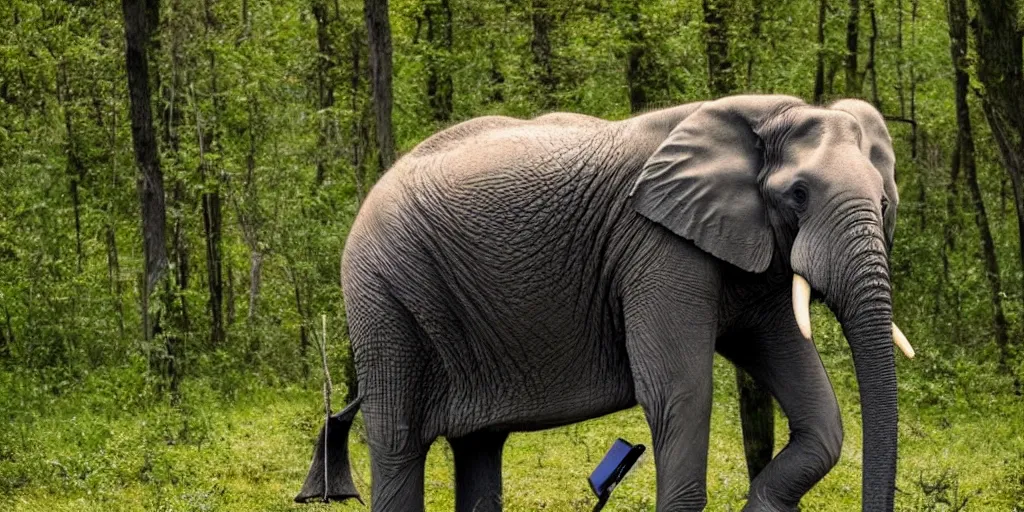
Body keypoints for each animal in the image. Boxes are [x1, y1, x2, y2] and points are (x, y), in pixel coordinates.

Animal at [294, 94, 913, 509]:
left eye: (885, 203)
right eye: (799, 194)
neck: (766, 115)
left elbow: (821, 417)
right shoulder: (655, 244)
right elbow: (679, 393)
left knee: (479, 444)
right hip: (383, 292)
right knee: (399, 439)